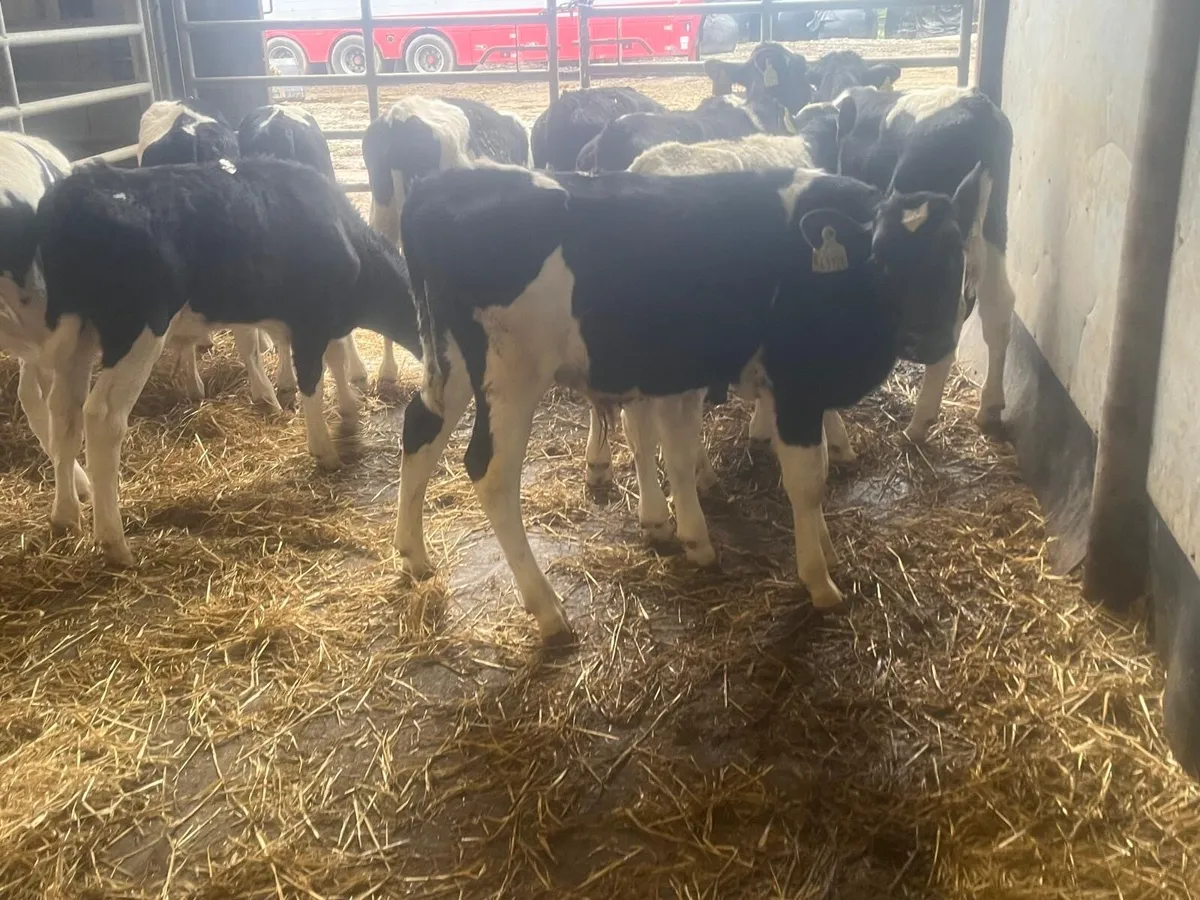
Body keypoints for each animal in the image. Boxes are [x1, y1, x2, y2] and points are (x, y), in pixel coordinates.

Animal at [36, 157, 420, 566]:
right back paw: (114, 542)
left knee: (63, 413)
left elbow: (335, 357)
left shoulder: (321, 320)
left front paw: (349, 407)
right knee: (102, 417)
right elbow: (312, 380)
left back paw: (64, 515)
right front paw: (325, 450)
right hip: (137, 331)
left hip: (76, 333)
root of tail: (78, 191)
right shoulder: (310, 321)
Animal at [392, 162, 982, 645]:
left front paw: (823, 551)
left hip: (450, 360)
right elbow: (807, 483)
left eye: (955, 252)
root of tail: (437, 186)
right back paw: (549, 611)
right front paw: (819, 581)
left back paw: (414, 556)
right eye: (882, 261)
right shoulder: (797, 386)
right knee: (490, 472)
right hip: (511, 375)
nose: (927, 339)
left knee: (420, 427)